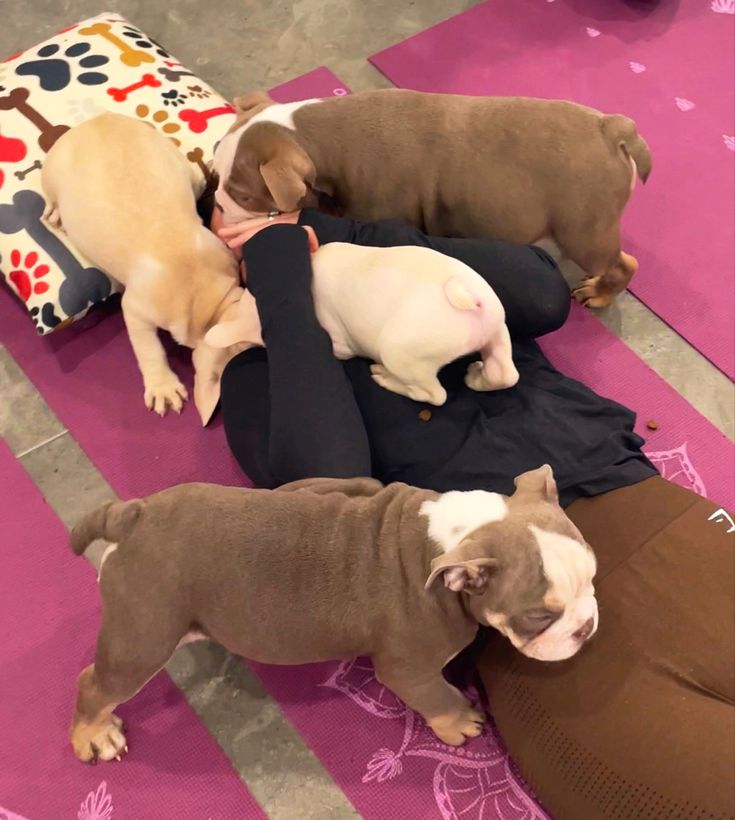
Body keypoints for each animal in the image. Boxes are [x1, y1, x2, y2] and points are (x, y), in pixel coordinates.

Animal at [67, 464, 600, 764]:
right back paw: (93, 735)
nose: (587, 626)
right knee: (95, 683)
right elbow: (436, 695)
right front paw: (459, 721)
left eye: (593, 574)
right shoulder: (409, 669)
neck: (452, 535)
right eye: (538, 617)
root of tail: (132, 516)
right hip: (145, 635)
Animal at [216, 89, 652, 308]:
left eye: (243, 194)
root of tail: (611, 127)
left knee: (624, 264)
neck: (316, 133)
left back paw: (600, 293)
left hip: (583, 231)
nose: (217, 203)